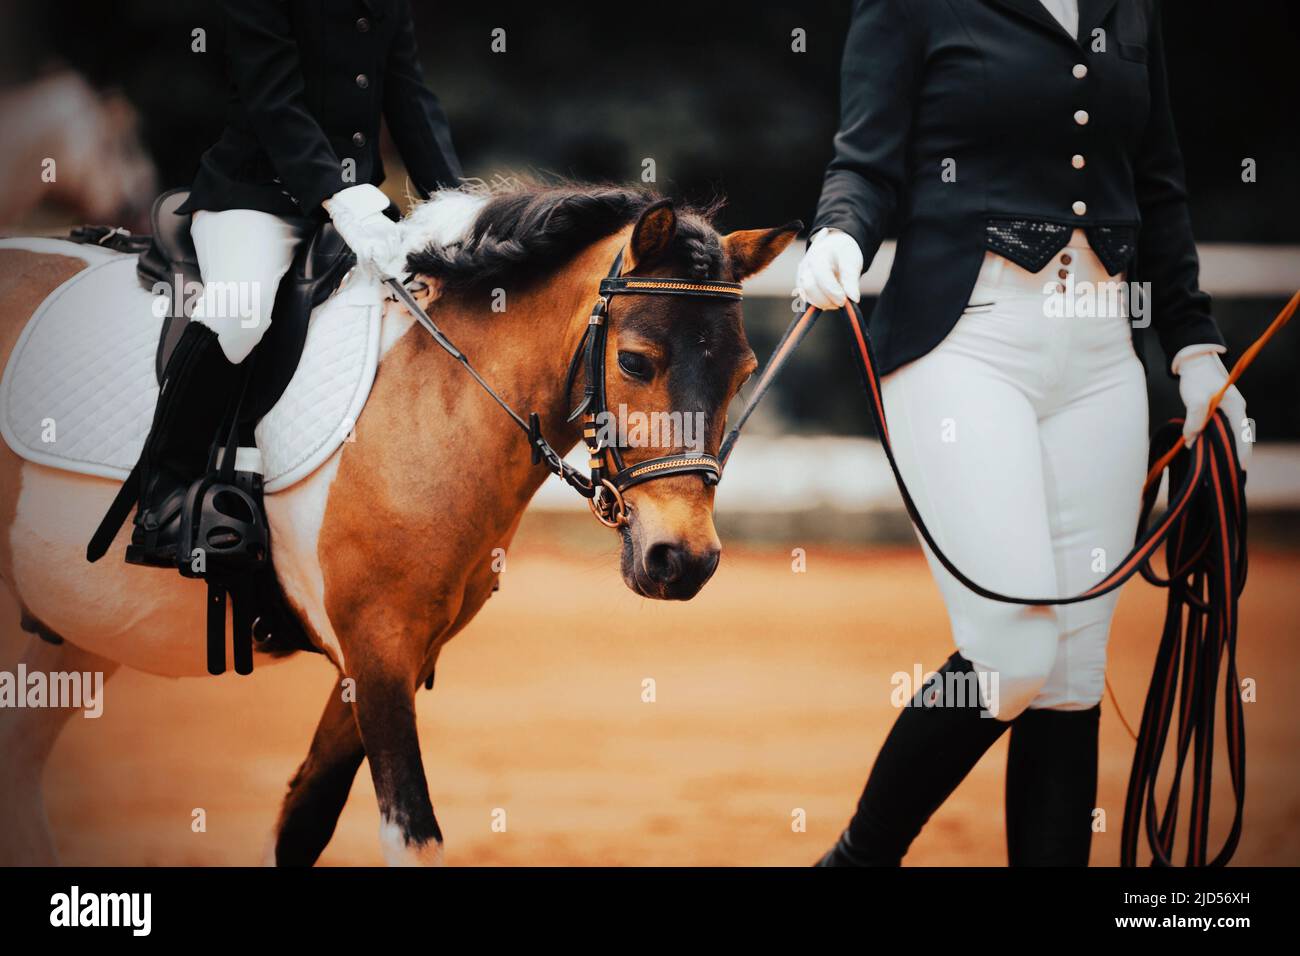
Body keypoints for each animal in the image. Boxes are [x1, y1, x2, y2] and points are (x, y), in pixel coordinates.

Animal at [0, 182, 797, 865]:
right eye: (634, 362)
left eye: (742, 372)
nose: (683, 559)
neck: (437, 398)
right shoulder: (377, 647)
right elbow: (412, 837)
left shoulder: (389, 657)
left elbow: (302, 824)